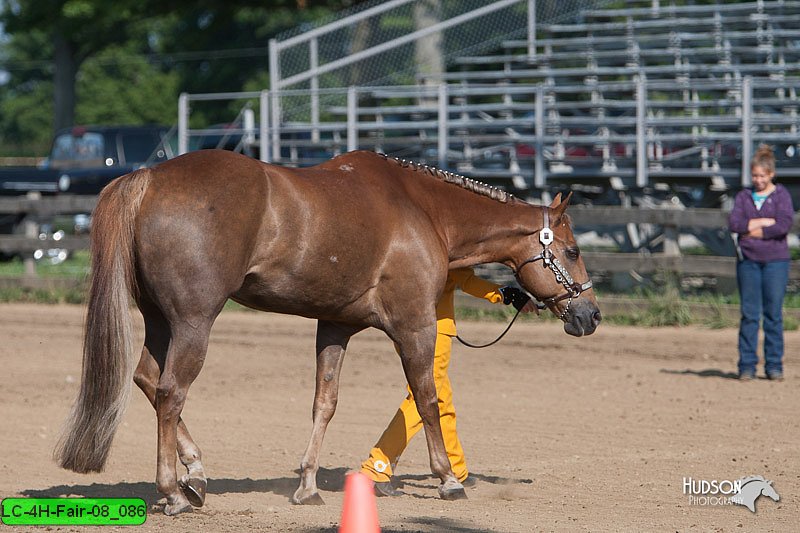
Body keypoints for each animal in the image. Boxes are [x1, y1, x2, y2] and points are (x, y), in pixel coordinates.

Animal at [54, 148, 600, 512]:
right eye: (572, 250)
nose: (590, 315)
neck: (422, 210)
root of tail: (148, 177)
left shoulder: (334, 326)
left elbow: (325, 403)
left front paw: (308, 485)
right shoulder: (414, 327)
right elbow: (427, 399)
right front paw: (448, 479)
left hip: (160, 320)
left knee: (147, 379)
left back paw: (197, 475)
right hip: (193, 321)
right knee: (170, 392)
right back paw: (174, 491)